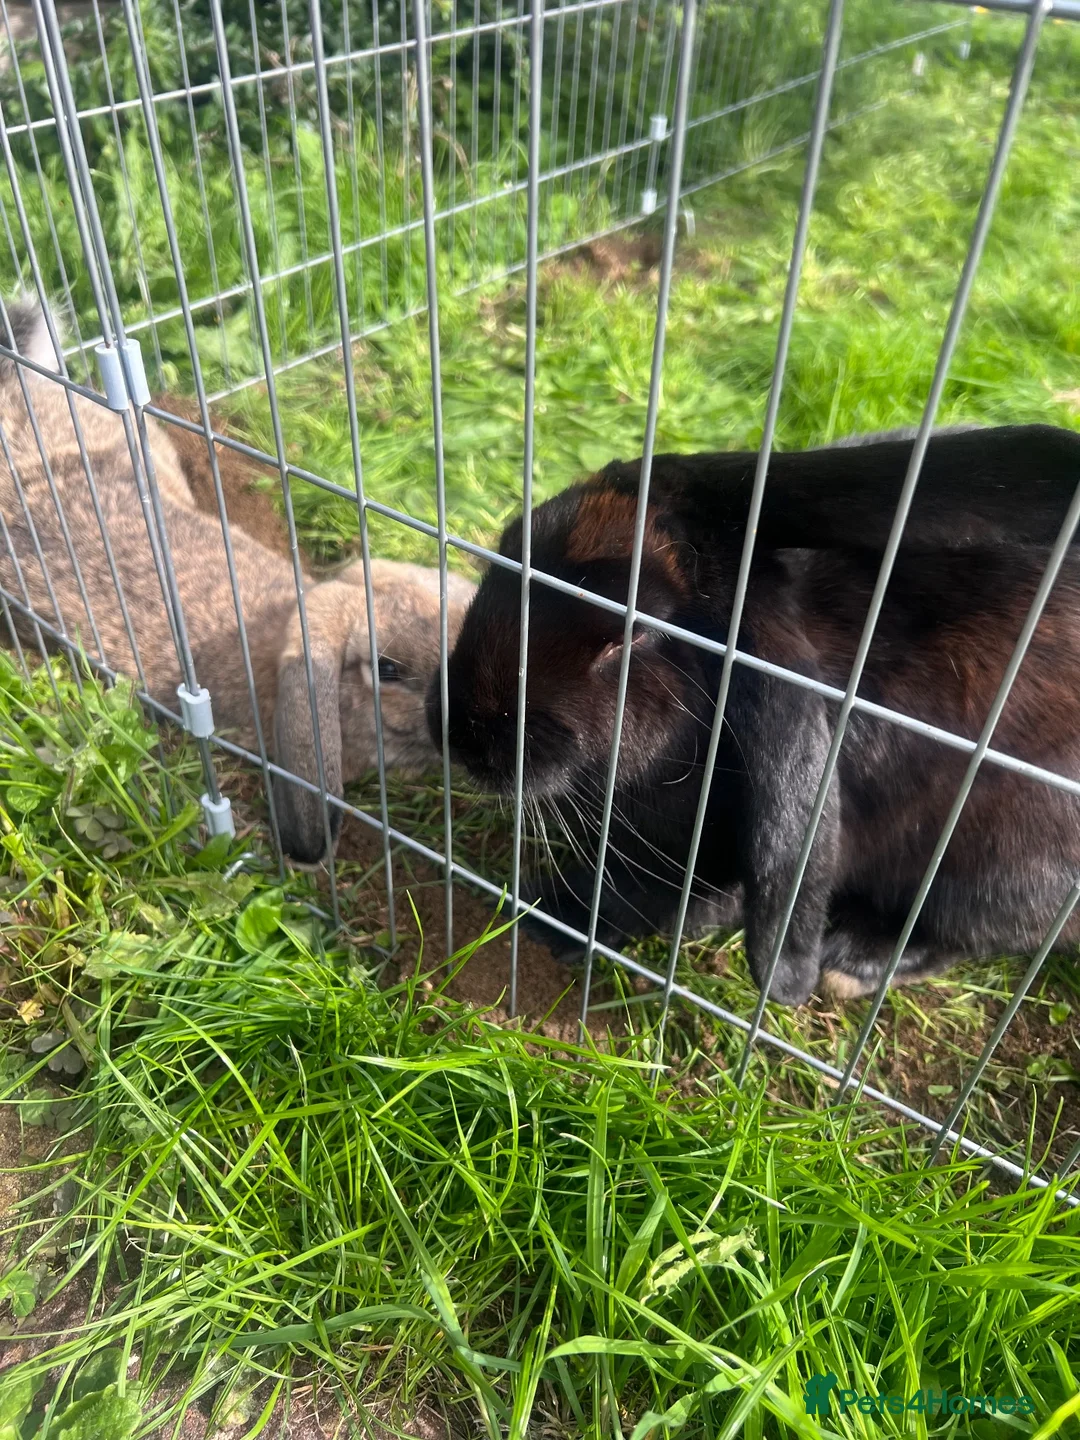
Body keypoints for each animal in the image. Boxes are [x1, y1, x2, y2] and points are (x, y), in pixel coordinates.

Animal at [430, 423, 1080, 1005]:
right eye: (511, 538)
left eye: (633, 636)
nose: (462, 735)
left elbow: (664, 896)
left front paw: (557, 916)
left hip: (998, 861)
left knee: (971, 931)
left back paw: (855, 961)